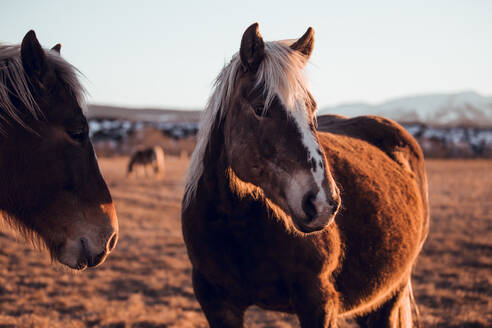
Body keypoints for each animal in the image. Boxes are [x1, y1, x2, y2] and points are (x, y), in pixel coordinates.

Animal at [183, 23, 428, 328]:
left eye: (312, 108)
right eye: (261, 108)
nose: (322, 203)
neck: (236, 226)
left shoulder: (318, 302)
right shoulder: (216, 301)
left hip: (390, 293)